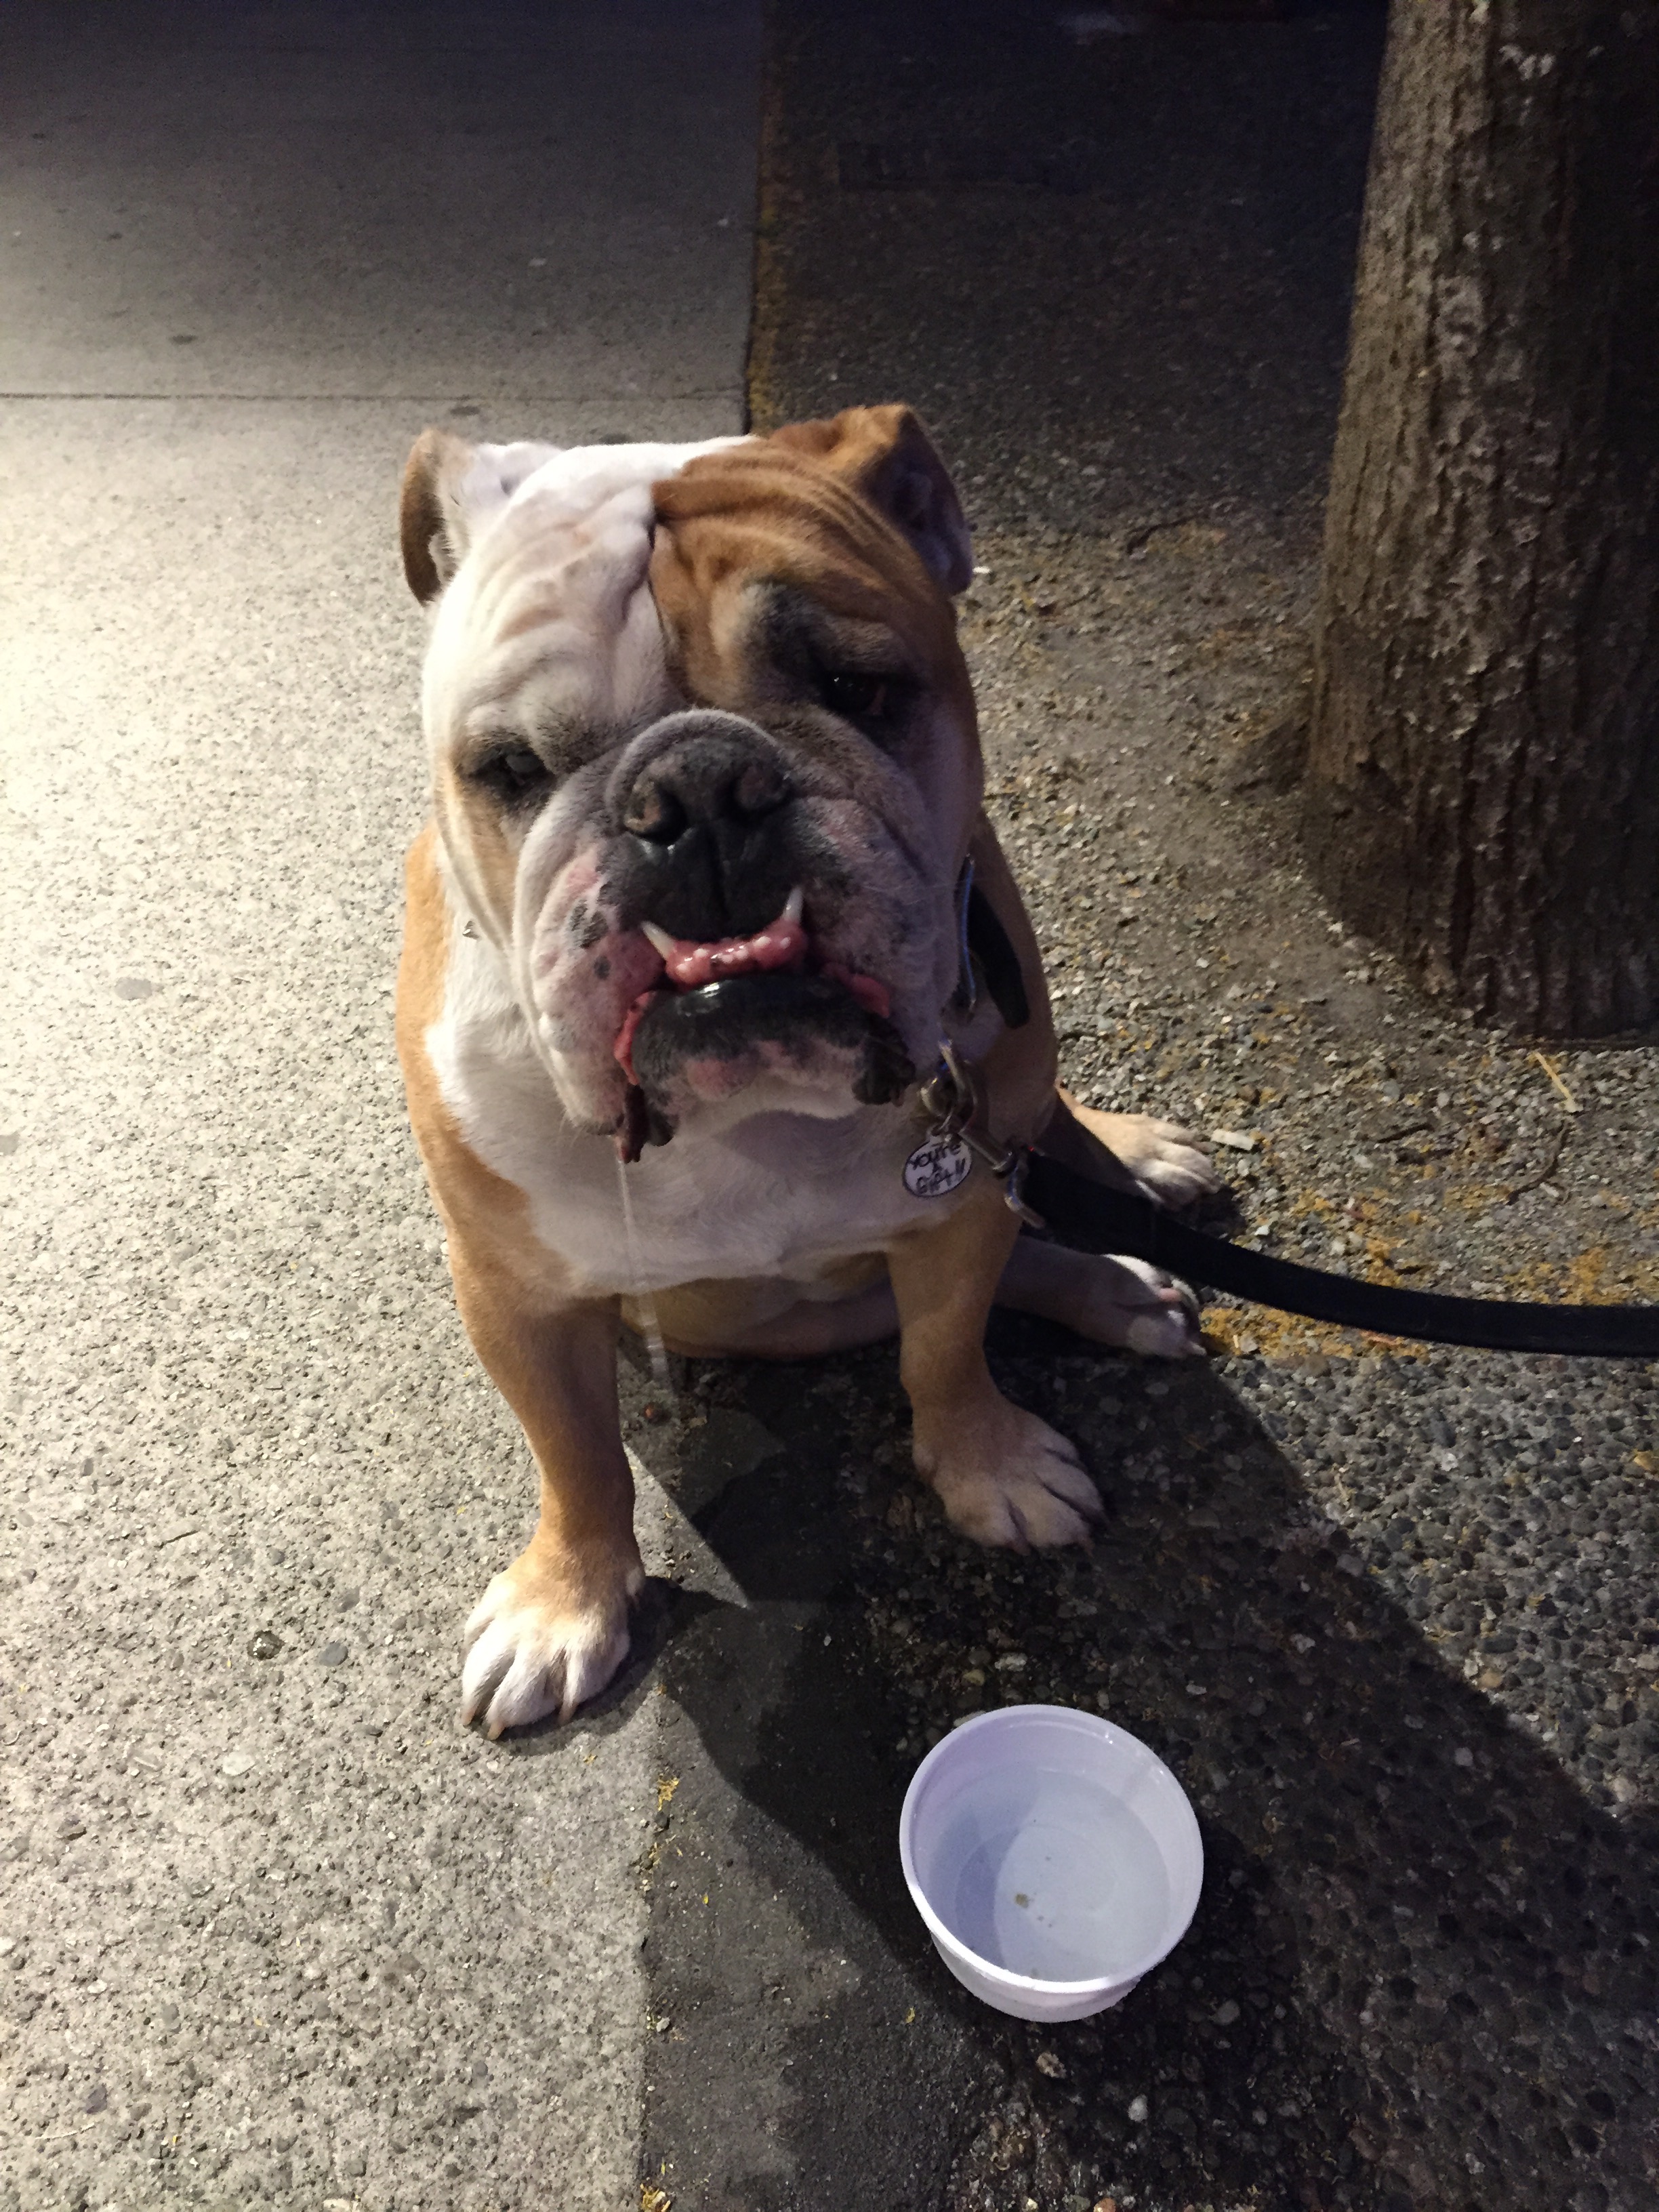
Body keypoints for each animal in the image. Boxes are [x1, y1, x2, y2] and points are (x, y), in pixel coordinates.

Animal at [395, 405, 1217, 1737]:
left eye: (859, 690)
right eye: (512, 767)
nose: (694, 792)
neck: (752, 1112)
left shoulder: (954, 1213)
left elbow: (946, 1355)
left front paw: (986, 1461)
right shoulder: (516, 1294)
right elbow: (576, 1457)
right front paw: (567, 1601)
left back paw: (1124, 1231)